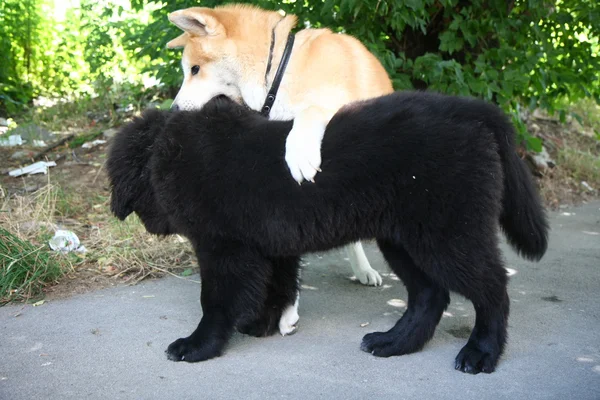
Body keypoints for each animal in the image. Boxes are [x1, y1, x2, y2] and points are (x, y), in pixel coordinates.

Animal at [106, 92, 548, 374]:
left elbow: (214, 302)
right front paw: (265, 325)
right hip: (403, 237)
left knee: (493, 290)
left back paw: (480, 353)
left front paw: (199, 346)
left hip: (448, 233)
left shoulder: (223, 249)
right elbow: (278, 287)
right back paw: (395, 343)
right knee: (430, 295)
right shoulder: (271, 245)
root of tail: (472, 111)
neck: (174, 152)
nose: (149, 226)